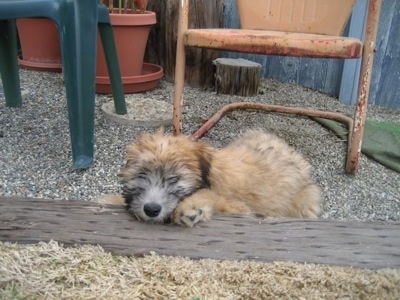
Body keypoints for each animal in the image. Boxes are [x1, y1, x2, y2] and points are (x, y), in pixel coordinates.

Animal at [96, 130, 322, 226]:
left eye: (174, 179)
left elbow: (214, 197)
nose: (151, 209)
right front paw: (109, 200)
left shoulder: (241, 208)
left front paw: (193, 206)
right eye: (141, 175)